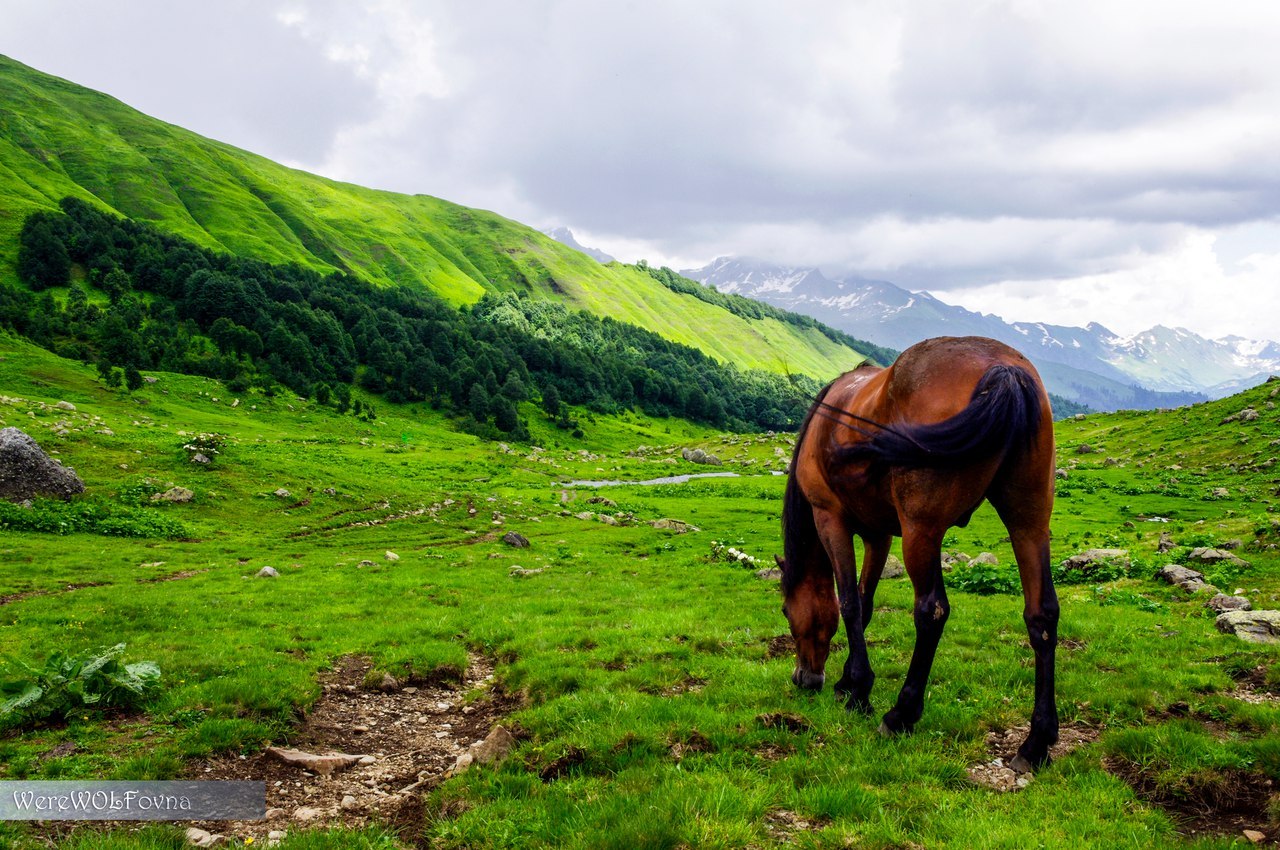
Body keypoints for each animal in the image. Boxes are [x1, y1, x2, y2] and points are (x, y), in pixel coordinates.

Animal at [778, 335, 1059, 773]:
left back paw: (901, 715)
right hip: (1028, 521)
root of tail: (1005, 370)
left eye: (786, 612)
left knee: (932, 611)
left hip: (921, 532)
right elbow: (865, 603)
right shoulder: (878, 535)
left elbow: (849, 604)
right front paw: (848, 681)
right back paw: (1036, 743)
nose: (804, 678)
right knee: (1041, 617)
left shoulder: (831, 519)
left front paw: (857, 691)